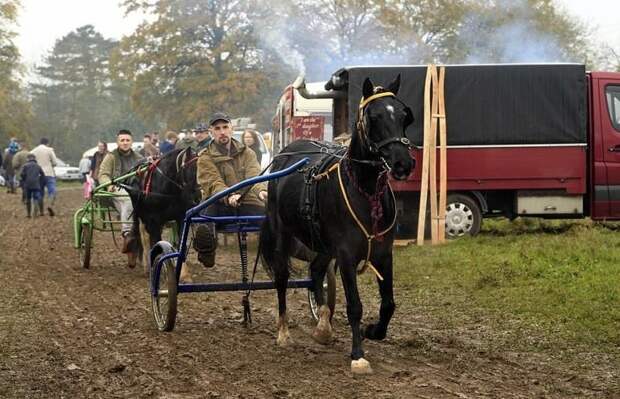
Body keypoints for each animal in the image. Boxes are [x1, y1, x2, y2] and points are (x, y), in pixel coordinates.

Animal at [260, 75, 414, 376]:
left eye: (404, 115)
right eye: (374, 117)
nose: (403, 163)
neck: (365, 191)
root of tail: (286, 154)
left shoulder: (383, 253)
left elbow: (388, 303)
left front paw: (372, 330)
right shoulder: (345, 255)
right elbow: (354, 305)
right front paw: (358, 355)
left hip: (323, 244)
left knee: (316, 271)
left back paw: (323, 324)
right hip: (283, 233)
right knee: (282, 278)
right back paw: (284, 332)